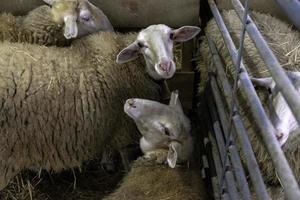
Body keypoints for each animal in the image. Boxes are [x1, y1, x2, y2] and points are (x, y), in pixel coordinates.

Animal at [0, 24, 202, 190]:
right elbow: (125, 156)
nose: (165, 66)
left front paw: (107, 163)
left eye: (171, 35)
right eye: (140, 45)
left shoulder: (109, 122)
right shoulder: (123, 130)